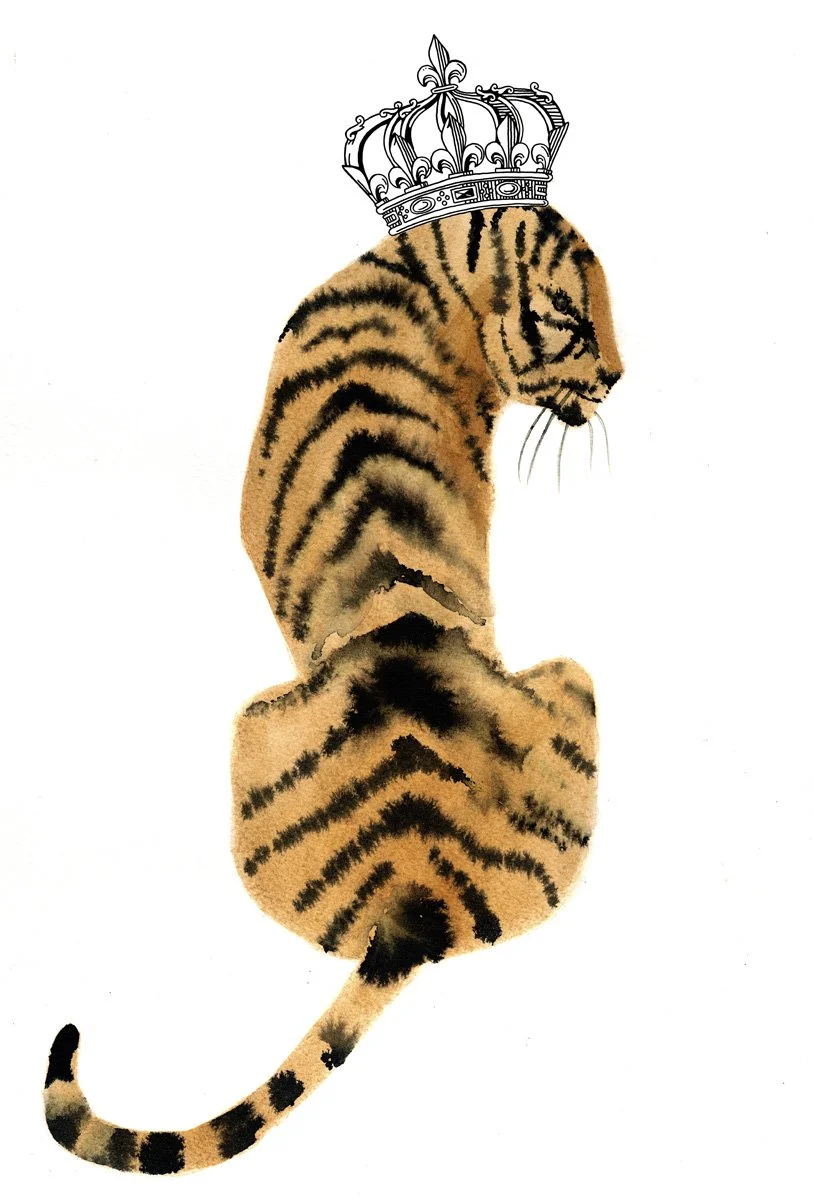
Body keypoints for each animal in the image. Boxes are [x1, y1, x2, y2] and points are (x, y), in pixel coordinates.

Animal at [43, 203, 622, 1173]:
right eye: (575, 320)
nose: (618, 376)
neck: (426, 276)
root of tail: (413, 907)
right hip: (564, 681)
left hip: (261, 722)